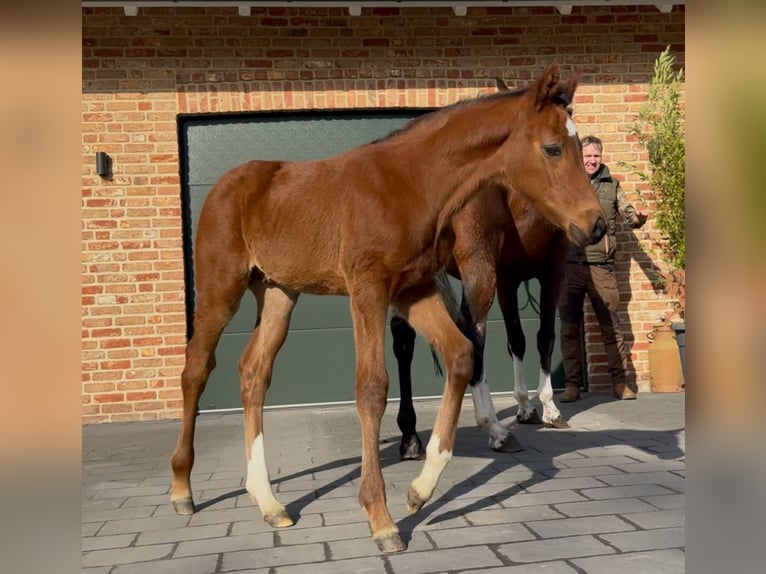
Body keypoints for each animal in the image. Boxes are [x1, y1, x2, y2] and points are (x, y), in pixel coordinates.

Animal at [168, 65, 608, 556]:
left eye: (580, 149)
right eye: (552, 148)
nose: (595, 225)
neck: (411, 186)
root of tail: (227, 184)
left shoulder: (413, 290)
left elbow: (461, 355)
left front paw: (419, 491)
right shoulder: (368, 290)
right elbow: (372, 389)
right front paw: (381, 519)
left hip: (280, 292)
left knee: (253, 372)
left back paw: (268, 502)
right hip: (220, 290)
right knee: (196, 368)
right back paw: (182, 490)